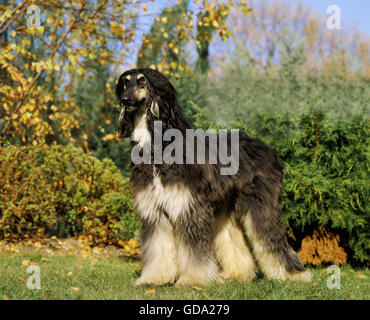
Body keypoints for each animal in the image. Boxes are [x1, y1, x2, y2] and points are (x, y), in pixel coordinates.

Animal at [115, 68, 312, 288]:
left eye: (142, 82)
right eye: (125, 83)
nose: (124, 100)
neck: (158, 146)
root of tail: (266, 147)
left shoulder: (189, 206)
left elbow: (194, 250)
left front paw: (193, 279)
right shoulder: (154, 211)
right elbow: (158, 248)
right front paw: (153, 278)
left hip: (261, 202)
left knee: (272, 237)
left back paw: (294, 275)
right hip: (225, 205)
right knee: (233, 238)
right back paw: (237, 275)